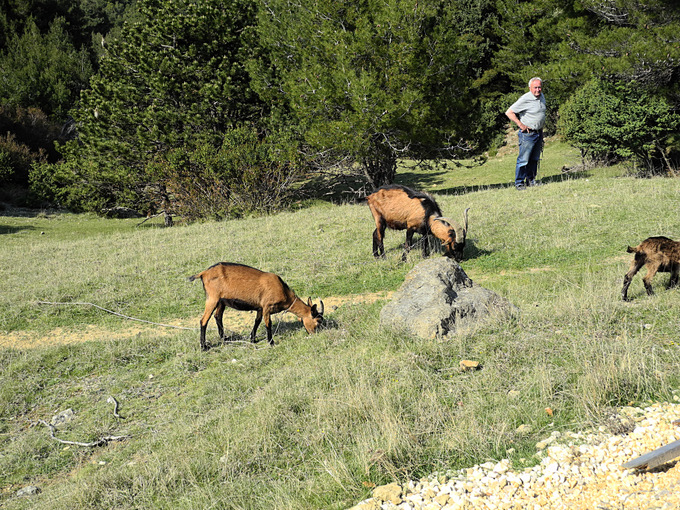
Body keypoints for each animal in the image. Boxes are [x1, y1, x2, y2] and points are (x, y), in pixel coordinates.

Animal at [186, 262, 324, 350]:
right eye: (318, 321)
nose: (315, 335)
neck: (283, 290)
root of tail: (203, 273)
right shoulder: (267, 306)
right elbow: (268, 324)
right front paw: (271, 342)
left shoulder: (260, 308)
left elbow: (257, 321)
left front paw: (252, 339)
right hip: (212, 299)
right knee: (204, 320)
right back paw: (204, 347)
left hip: (221, 301)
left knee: (217, 316)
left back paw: (224, 338)